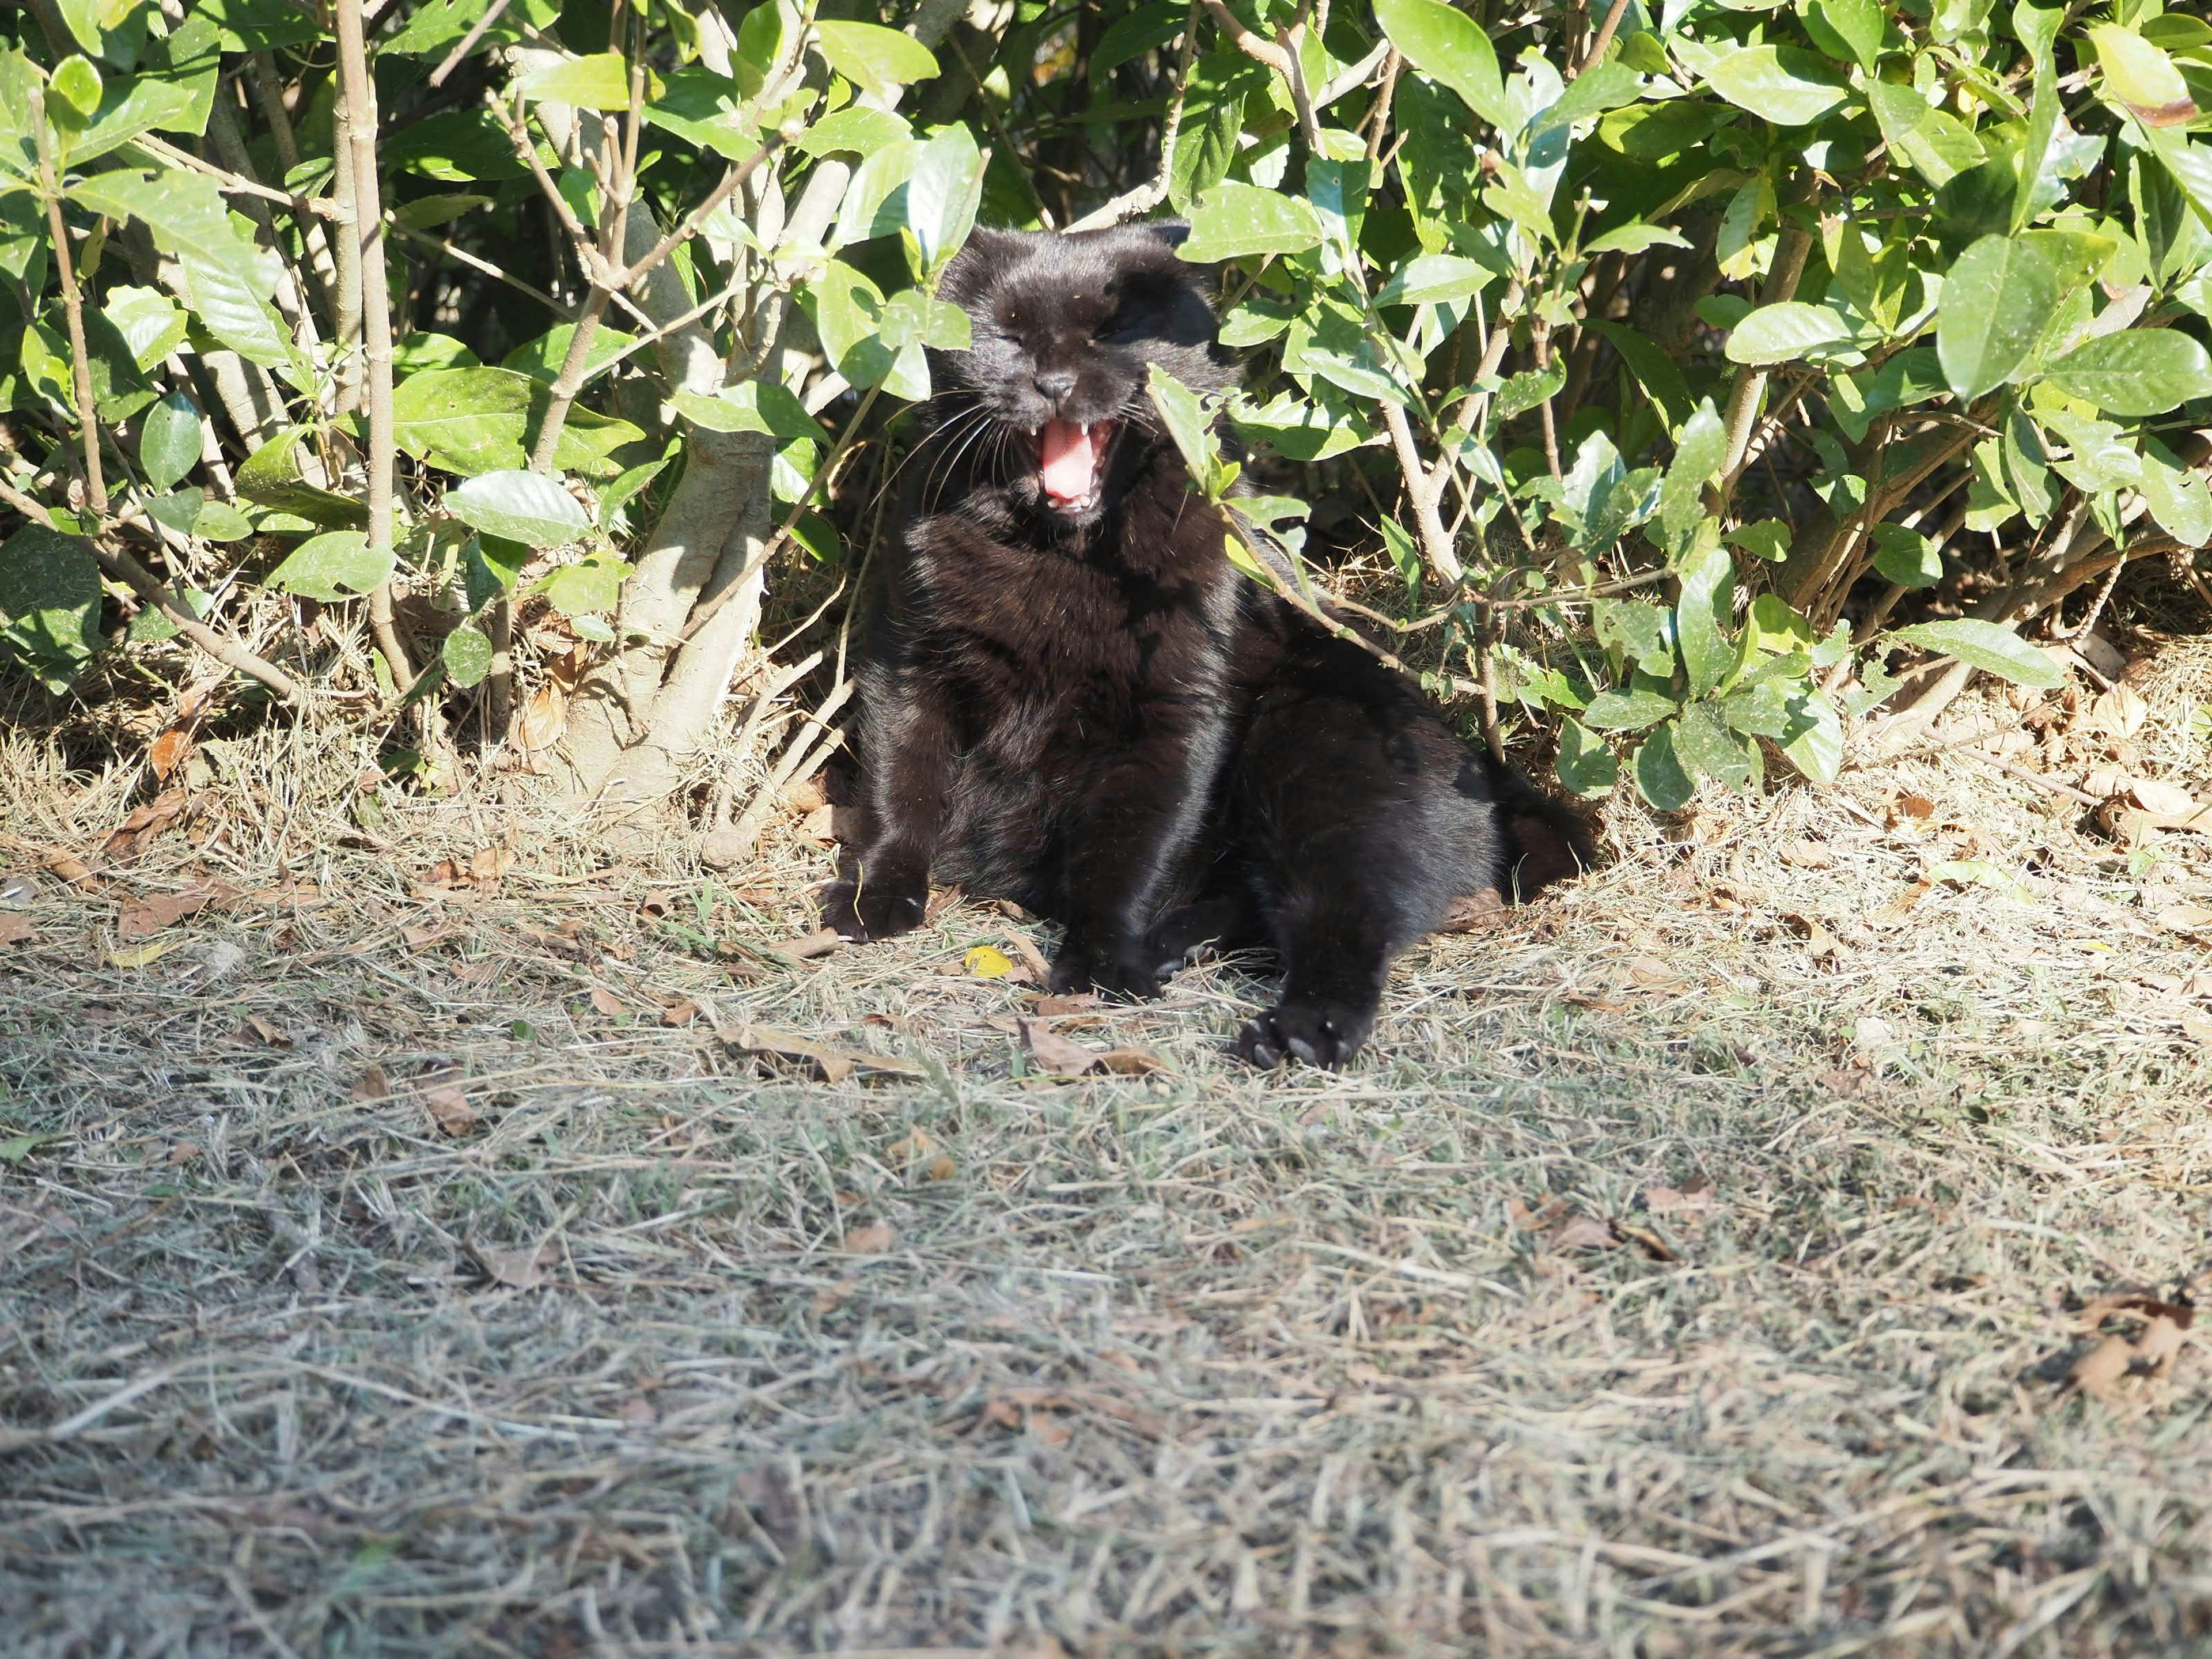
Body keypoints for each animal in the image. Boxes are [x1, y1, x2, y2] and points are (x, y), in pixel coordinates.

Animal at [823, 228, 1584, 1070]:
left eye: (1114, 332)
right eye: (1008, 336)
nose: (1053, 383)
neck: (1064, 555)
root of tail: (1492, 775)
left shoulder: (1174, 712)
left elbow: (1128, 849)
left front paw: (1102, 961)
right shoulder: (910, 665)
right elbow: (901, 789)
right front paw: (877, 897)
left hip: (1320, 750)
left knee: (1347, 926)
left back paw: (1294, 1029)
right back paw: (1174, 946)